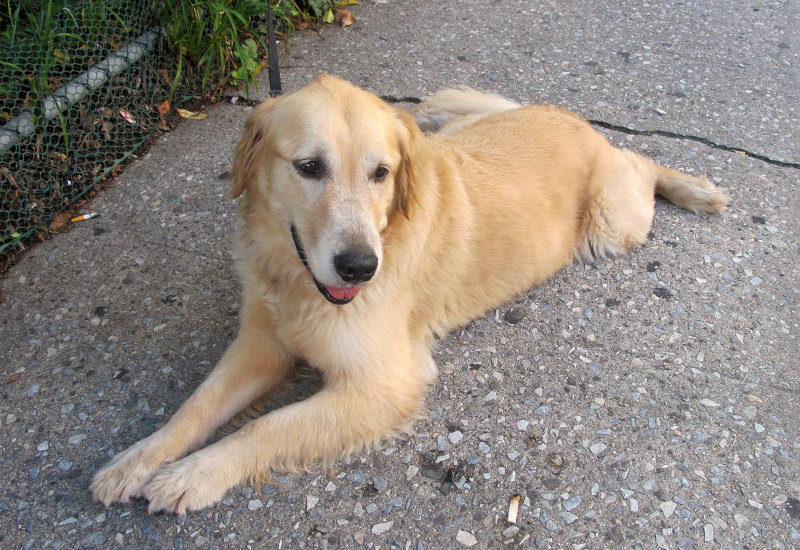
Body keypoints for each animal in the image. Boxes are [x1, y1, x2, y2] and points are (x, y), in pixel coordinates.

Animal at [89, 72, 732, 512]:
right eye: (308, 166)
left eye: (381, 173)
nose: (358, 268)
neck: (296, 282)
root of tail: (571, 118)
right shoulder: (262, 343)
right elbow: (197, 405)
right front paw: (139, 458)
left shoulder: (385, 383)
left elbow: (264, 427)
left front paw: (196, 474)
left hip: (613, 222)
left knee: (641, 160)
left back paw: (694, 187)